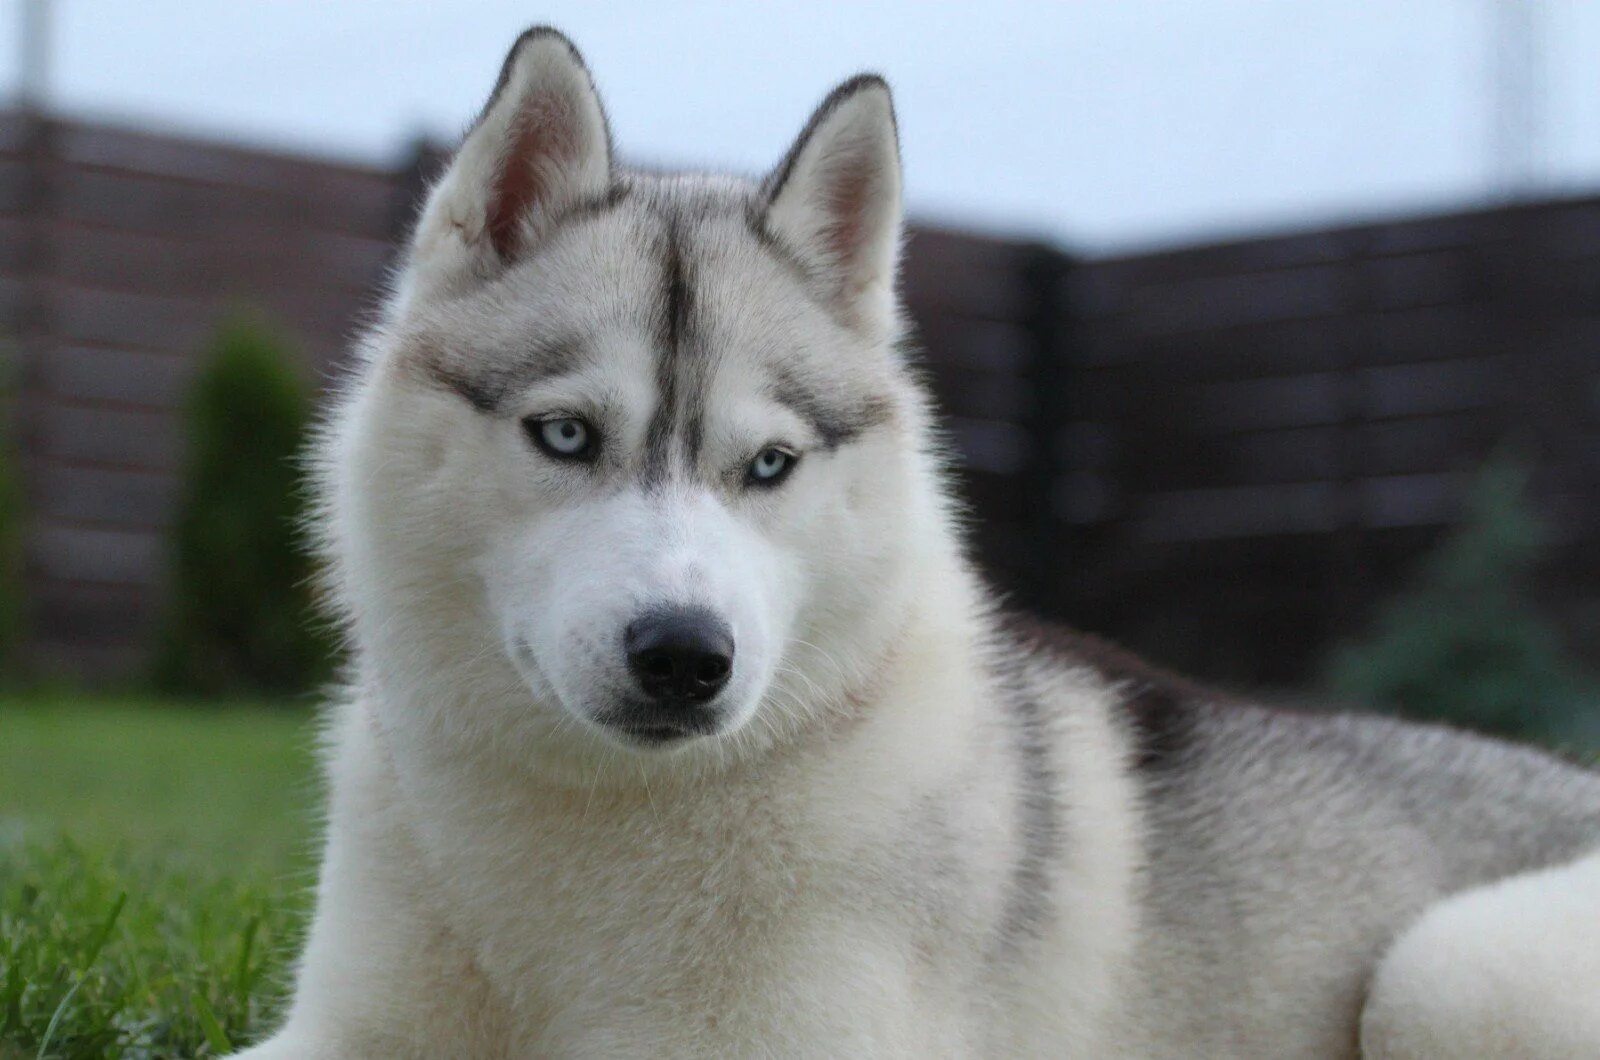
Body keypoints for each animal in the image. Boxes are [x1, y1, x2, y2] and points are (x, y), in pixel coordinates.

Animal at [236, 27, 1600, 1060]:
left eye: (769, 464)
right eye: (566, 434)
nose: (683, 656)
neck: (600, 821)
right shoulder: (340, 1030)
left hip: (1447, 970)